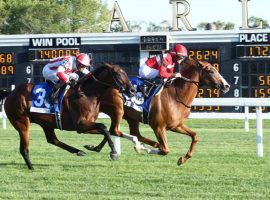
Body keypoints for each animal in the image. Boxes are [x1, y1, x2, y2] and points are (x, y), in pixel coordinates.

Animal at [0, 63, 135, 170]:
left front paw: (93, 147)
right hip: (22, 123)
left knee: (52, 140)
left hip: (46, 123)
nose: (132, 90)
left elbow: (106, 130)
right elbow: (104, 127)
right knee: (24, 149)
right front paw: (113, 152)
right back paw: (31, 167)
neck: (87, 94)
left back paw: (79, 151)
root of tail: (11, 93)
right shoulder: (80, 125)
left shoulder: (84, 127)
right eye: (117, 74)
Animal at [98, 59, 230, 166]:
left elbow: (195, 136)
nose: (226, 85)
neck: (175, 97)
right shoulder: (158, 127)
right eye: (211, 71)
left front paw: (183, 159)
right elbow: (165, 150)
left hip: (131, 117)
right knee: (113, 130)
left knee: (131, 133)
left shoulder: (176, 126)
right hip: (117, 111)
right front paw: (149, 148)